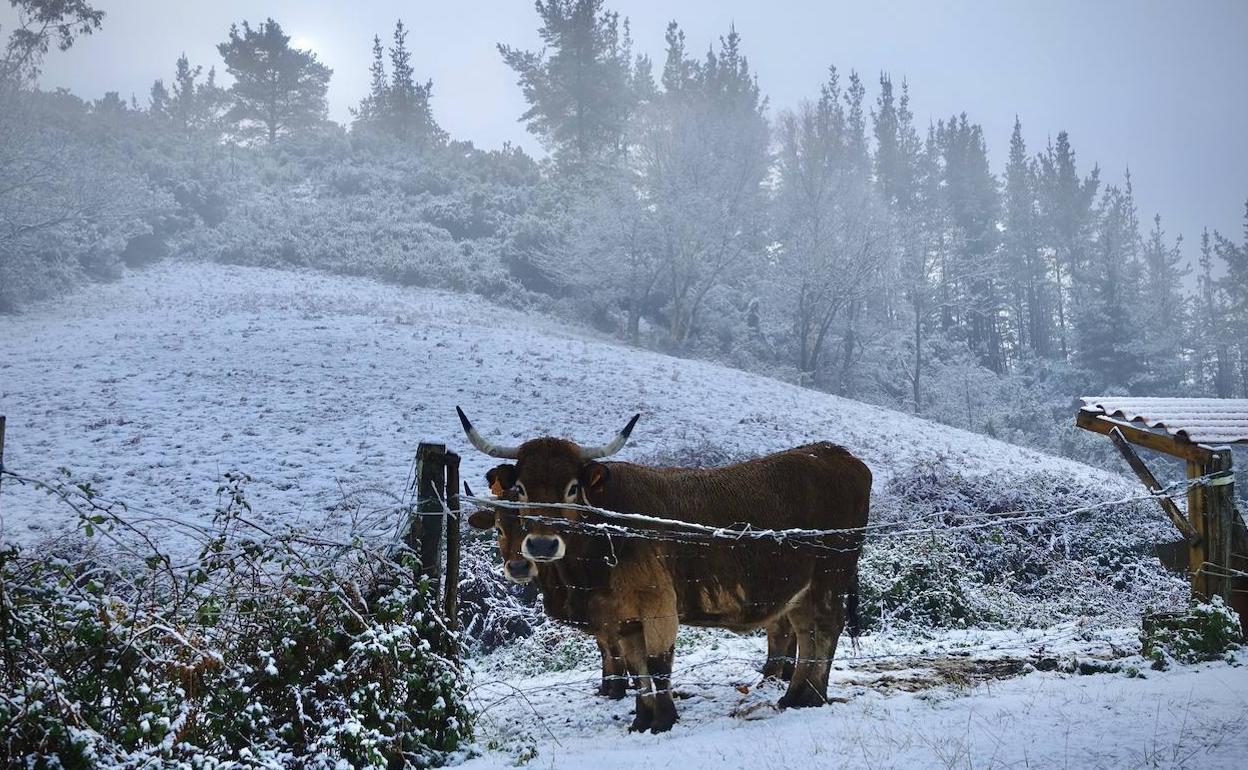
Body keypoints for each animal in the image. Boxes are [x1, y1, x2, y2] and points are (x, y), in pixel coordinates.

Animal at [459, 404, 868, 728]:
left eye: (573, 488)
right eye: (522, 488)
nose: (541, 544)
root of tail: (837, 454)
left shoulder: (657, 603)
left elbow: (657, 663)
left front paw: (665, 718)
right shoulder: (622, 617)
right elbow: (637, 666)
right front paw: (643, 718)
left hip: (831, 576)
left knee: (826, 629)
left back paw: (812, 695)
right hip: (800, 587)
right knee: (805, 632)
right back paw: (795, 695)